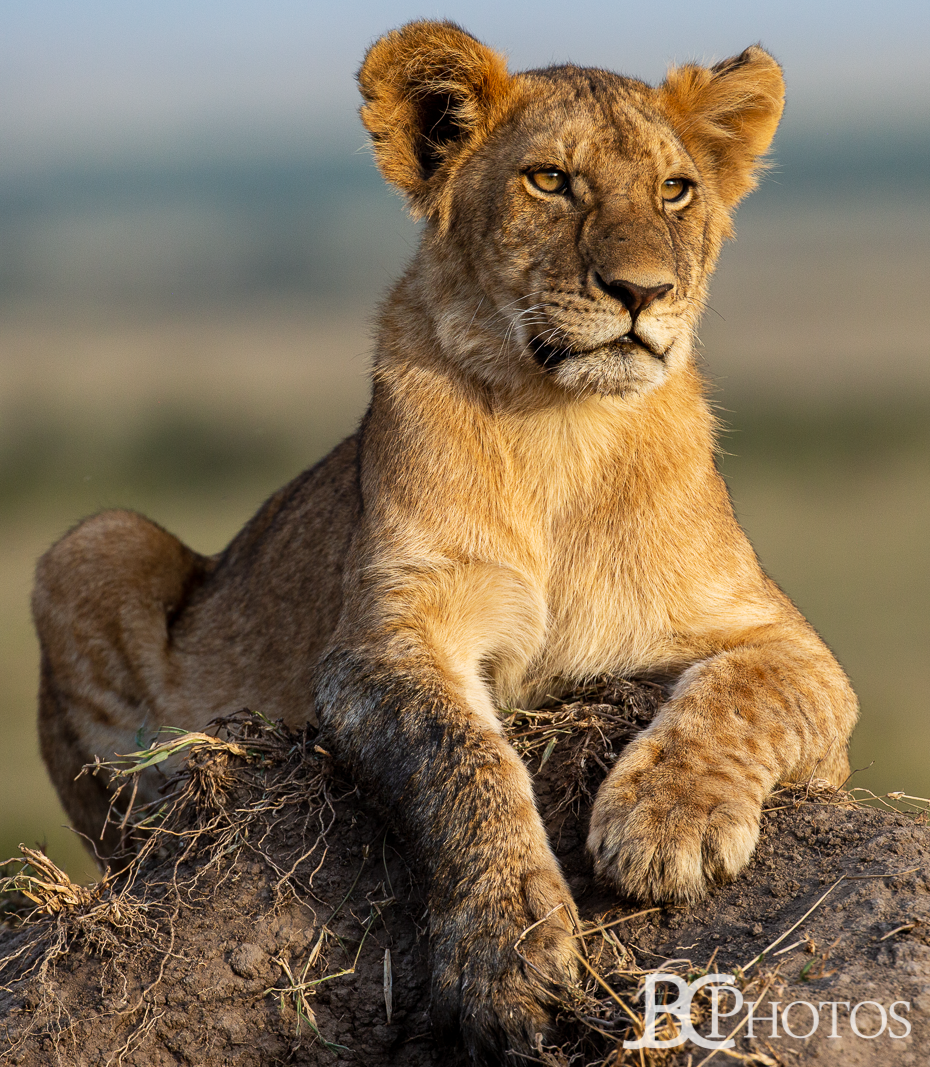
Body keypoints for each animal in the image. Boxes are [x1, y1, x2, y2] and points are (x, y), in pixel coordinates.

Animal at [32, 20, 858, 1061]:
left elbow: (749, 694)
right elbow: (461, 759)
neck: (565, 425)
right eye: (551, 180)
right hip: (96, 541)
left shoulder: (790, 645)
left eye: (676, 189)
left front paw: (668, 826)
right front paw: (509, 951)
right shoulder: (385, 635)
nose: (643, 291)